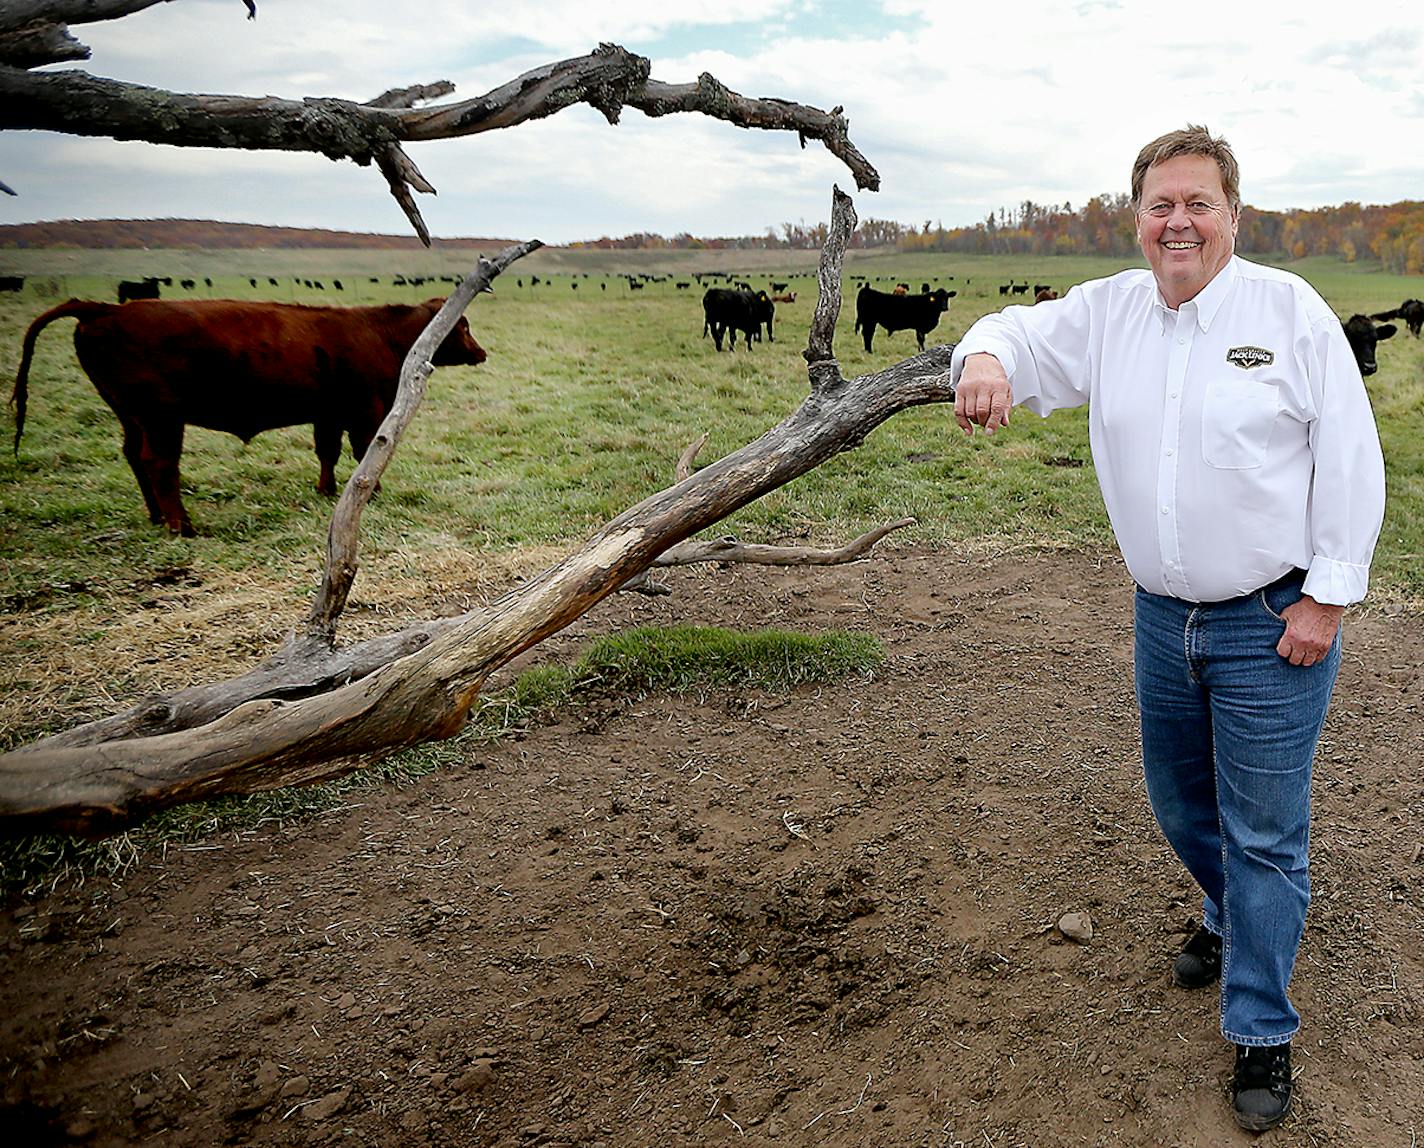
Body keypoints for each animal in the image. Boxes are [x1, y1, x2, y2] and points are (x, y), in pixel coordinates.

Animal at [11, 303, 492, 541]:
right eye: (464, 326)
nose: (481, 351)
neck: (378, 329)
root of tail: (101, 309)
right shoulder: (365, 411)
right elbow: (365, 454)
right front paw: (370, 493)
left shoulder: (328, 413)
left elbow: (328, 451)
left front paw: (326, 490)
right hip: (162, 419)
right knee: (160, 464)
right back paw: (182, 526)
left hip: (130, 416)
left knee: (133, 456)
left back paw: (156, 515)